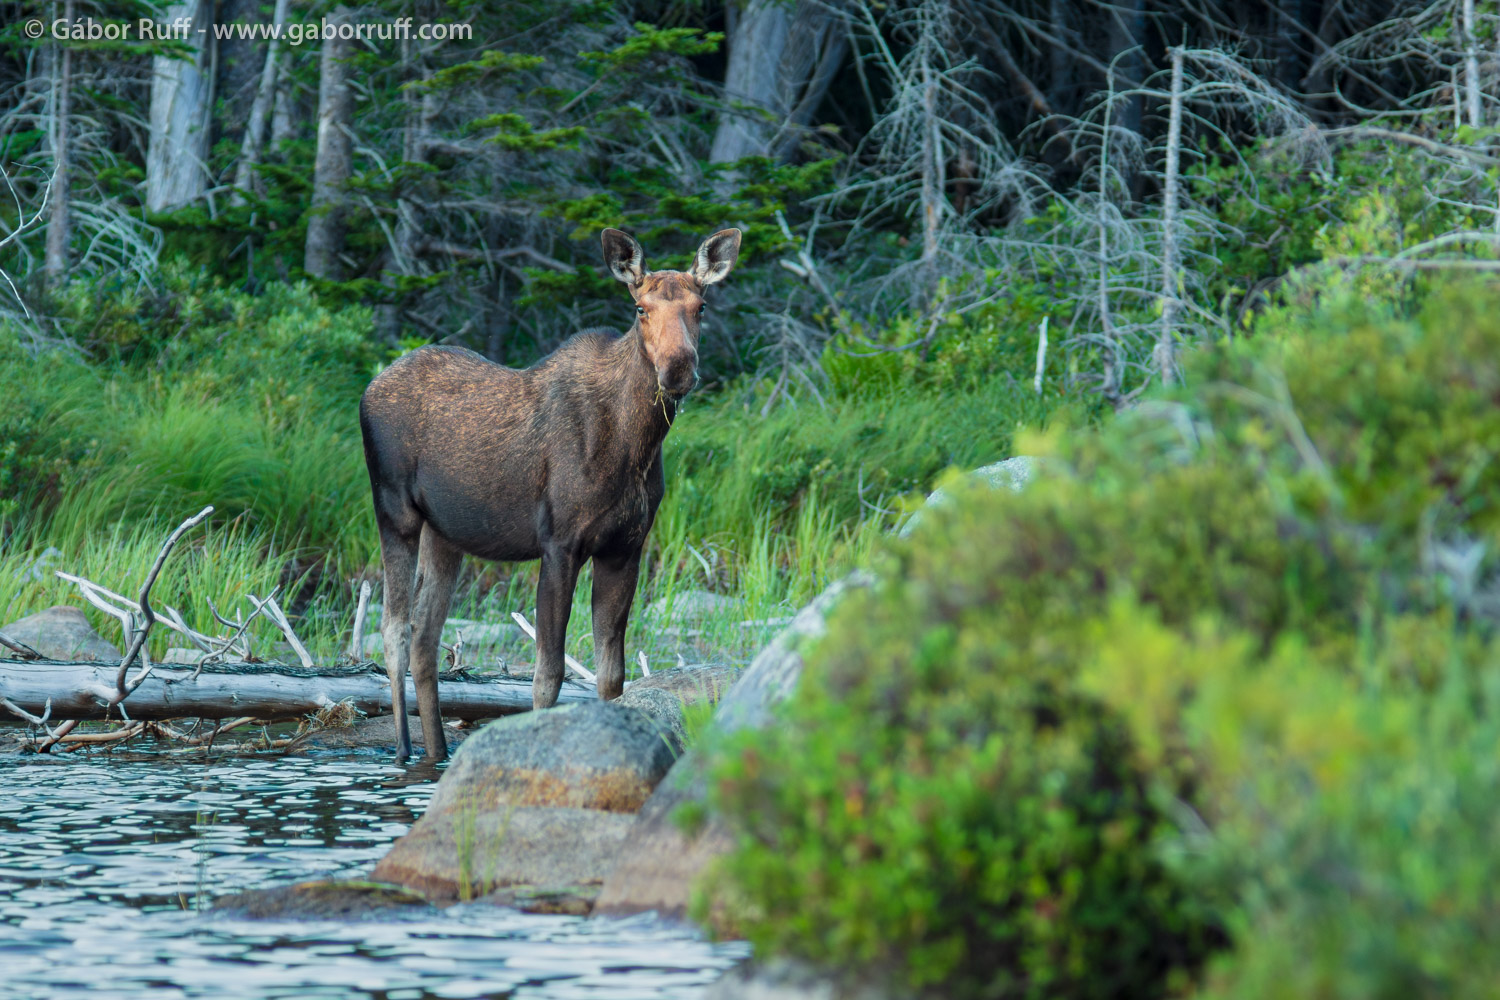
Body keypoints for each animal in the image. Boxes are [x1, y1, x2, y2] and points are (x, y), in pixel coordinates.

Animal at [359, 227, 742, 759]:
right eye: (640, 308)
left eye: (700, 306)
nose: (678, 369)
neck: (637, 445)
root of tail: (368, 388)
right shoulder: (559, 544)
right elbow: (547, 677)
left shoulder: (624, 549)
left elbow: (612, 676)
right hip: (394, 510)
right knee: (394, 629)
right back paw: (402, 751)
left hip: (445, 534)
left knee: (425, 639)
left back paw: (437, 754)